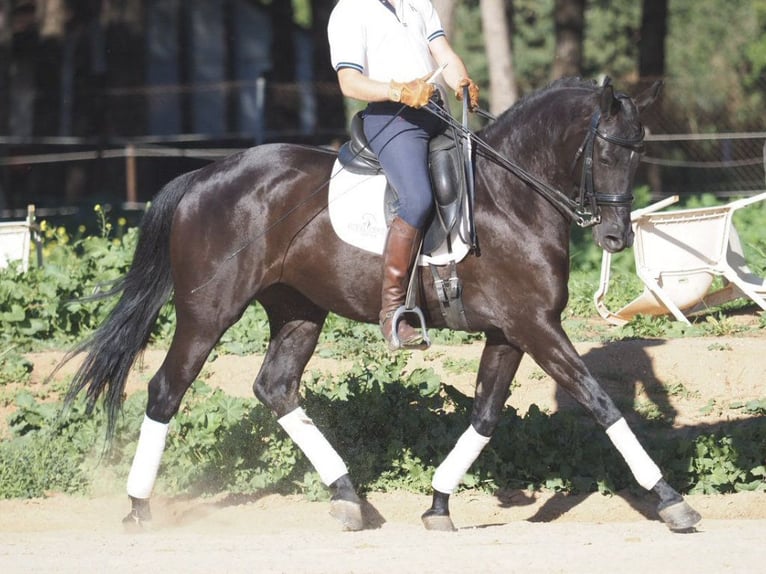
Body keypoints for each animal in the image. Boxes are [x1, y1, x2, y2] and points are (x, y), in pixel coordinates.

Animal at [63, 77, 704, 536]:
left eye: (639, 151)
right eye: (606, 150)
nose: (615, 237)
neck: (512, 198)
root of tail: (203, 175)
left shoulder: (510, 331)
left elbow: (485, 415)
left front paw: (439, 503)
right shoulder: (536, 326)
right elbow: (601, 402)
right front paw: (669, 500)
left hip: (299, 311)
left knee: (276, 388)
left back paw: (349, 498)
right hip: (209, 313)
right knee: (166, 390)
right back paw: (139, 508)